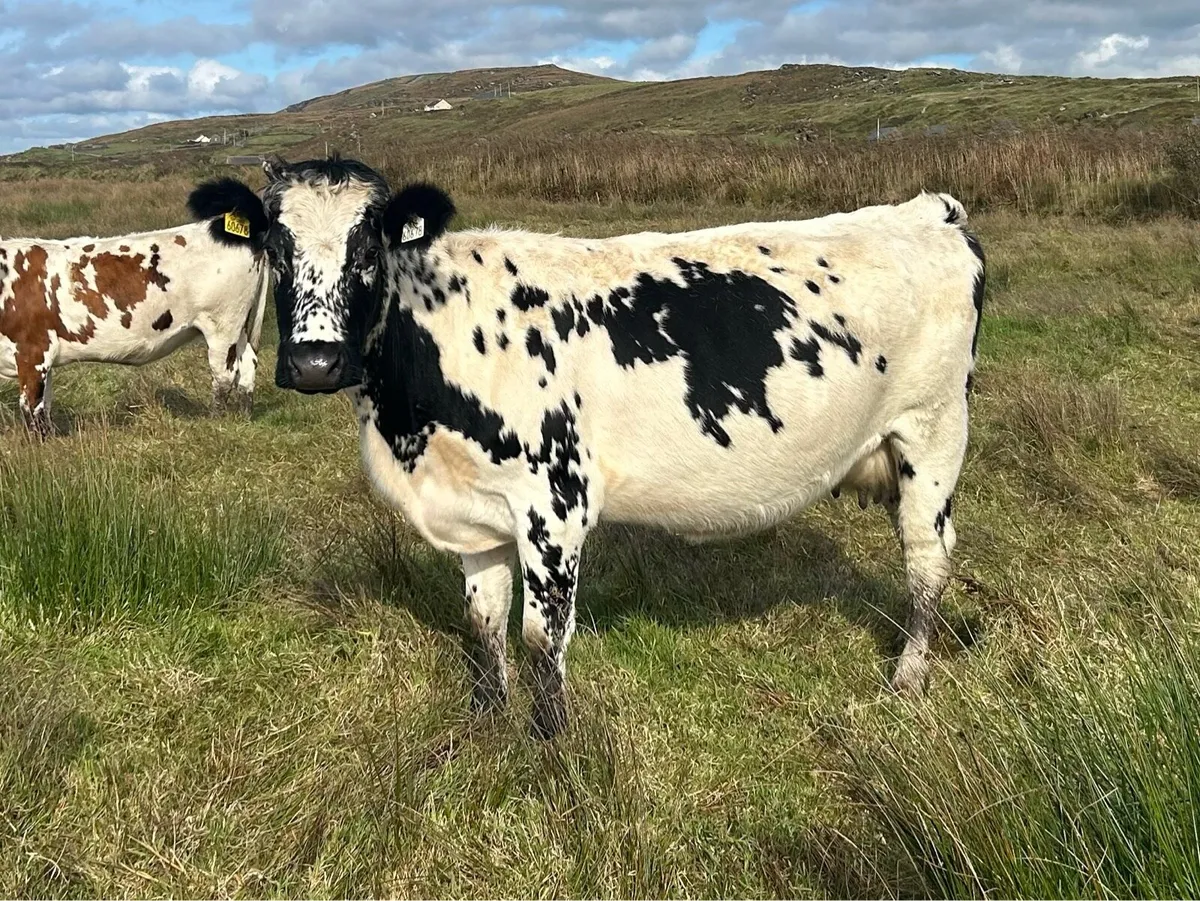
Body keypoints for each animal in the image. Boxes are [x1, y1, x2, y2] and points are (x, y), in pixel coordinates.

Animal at [0, 178, 270, 435]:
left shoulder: (33, 353)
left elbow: (33, 411)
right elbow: (45, 407)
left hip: (222, 325)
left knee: (224, 376)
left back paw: (217, 423)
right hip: (238, 326)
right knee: (248, 365)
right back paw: (243, 419)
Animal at [249, 156, 985, 739]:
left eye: (367, 251)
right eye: (275, 251)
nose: (315, 362)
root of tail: (929, 210)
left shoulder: (554, 502)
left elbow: (541, 636)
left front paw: (549, 743)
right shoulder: (475, 509)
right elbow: (483, 622)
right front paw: (486, 723)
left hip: (933, 430)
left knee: (928, 559)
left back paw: (908, 678)